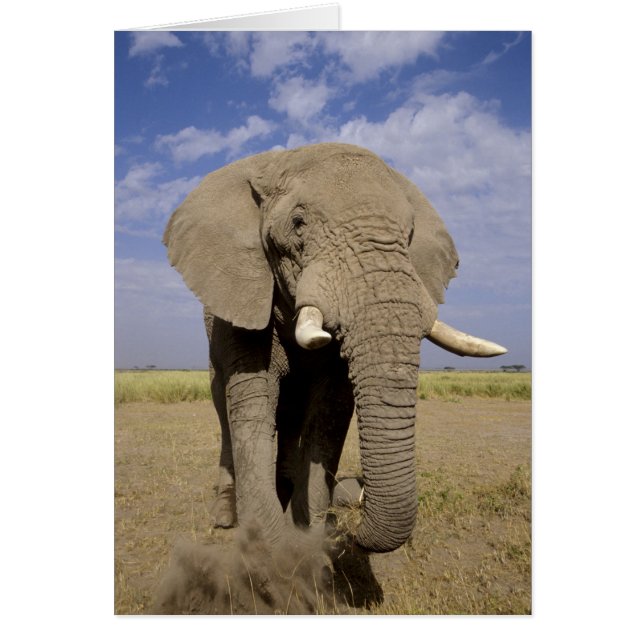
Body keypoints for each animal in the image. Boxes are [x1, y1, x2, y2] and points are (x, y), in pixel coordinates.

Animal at [163, 142, 506, 554]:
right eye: (298, 223)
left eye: (409, 235)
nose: (351, 516)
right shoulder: (243, 296)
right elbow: (253, 399)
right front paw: (270, 544)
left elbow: (330, 408)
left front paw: (310, 532)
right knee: (224, 409)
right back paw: (227, 516)